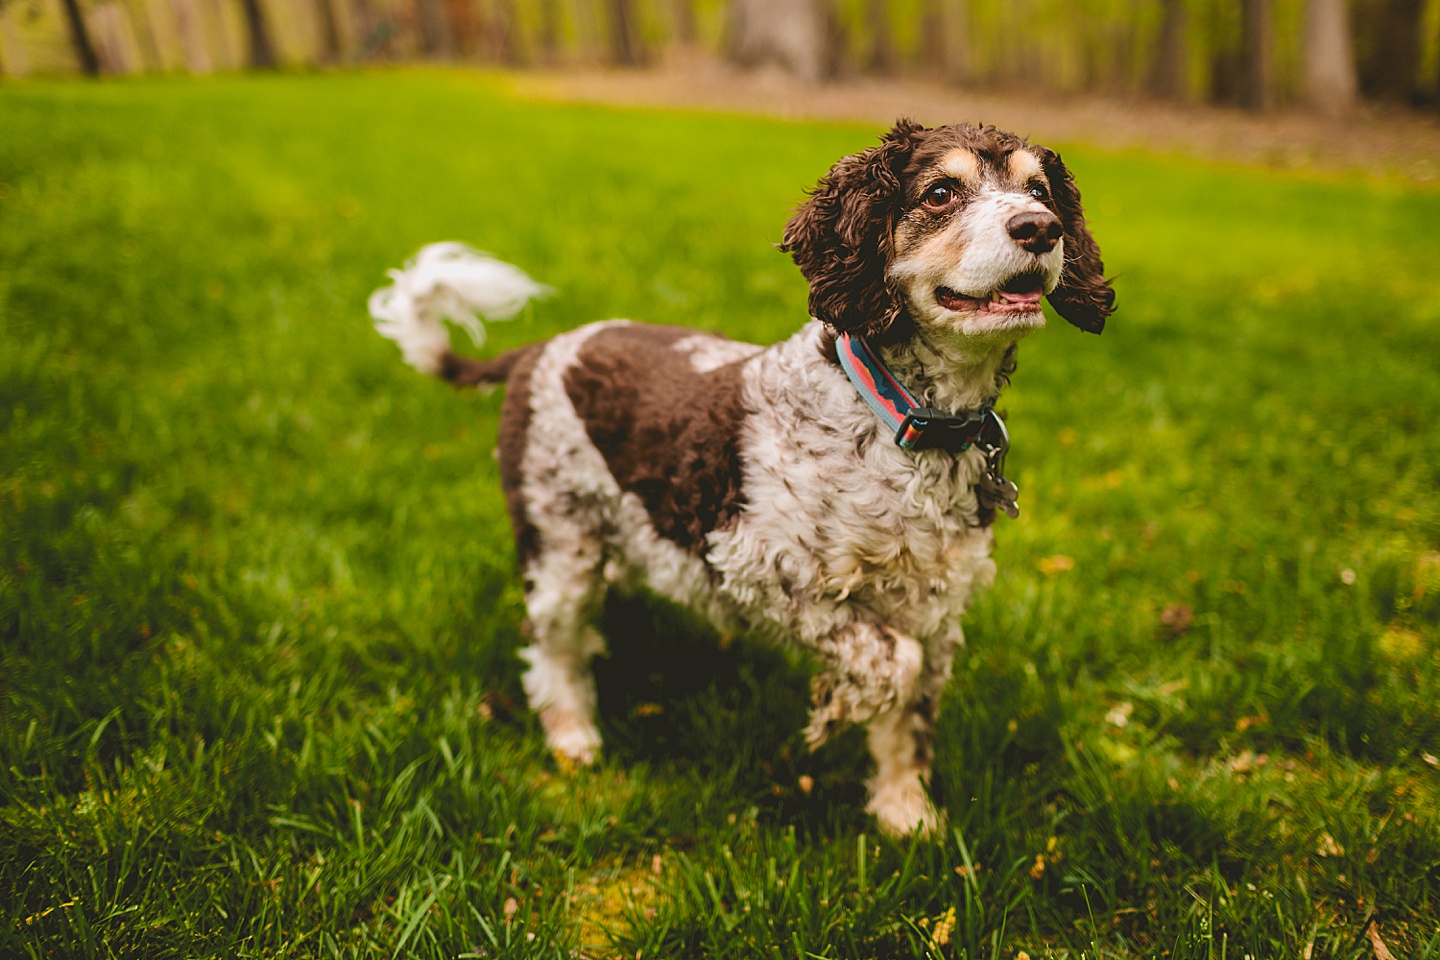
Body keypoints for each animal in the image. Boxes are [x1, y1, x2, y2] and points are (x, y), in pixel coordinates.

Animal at [368, 120, 1111, 834]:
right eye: (939, 193)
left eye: (1040, 190)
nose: (1039, 228)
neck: (896, 421)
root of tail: (538, 349)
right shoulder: (758, 565)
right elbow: (888, 663)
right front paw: (836, 708)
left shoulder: (934, 606)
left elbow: (910, 719)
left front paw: (905, 815)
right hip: (558, 544)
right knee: (551, 652)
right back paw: (574, 735)